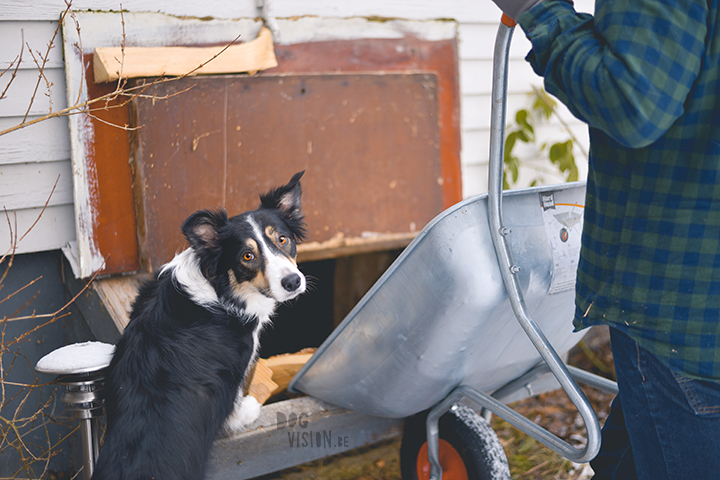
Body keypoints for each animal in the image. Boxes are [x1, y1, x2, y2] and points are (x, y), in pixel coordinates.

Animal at [90, 172, 306, 480]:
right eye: (247, 256)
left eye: (283, 239)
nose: (293, 282)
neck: (220, 290)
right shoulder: (233, 374)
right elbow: (234, 407)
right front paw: (248, 409)